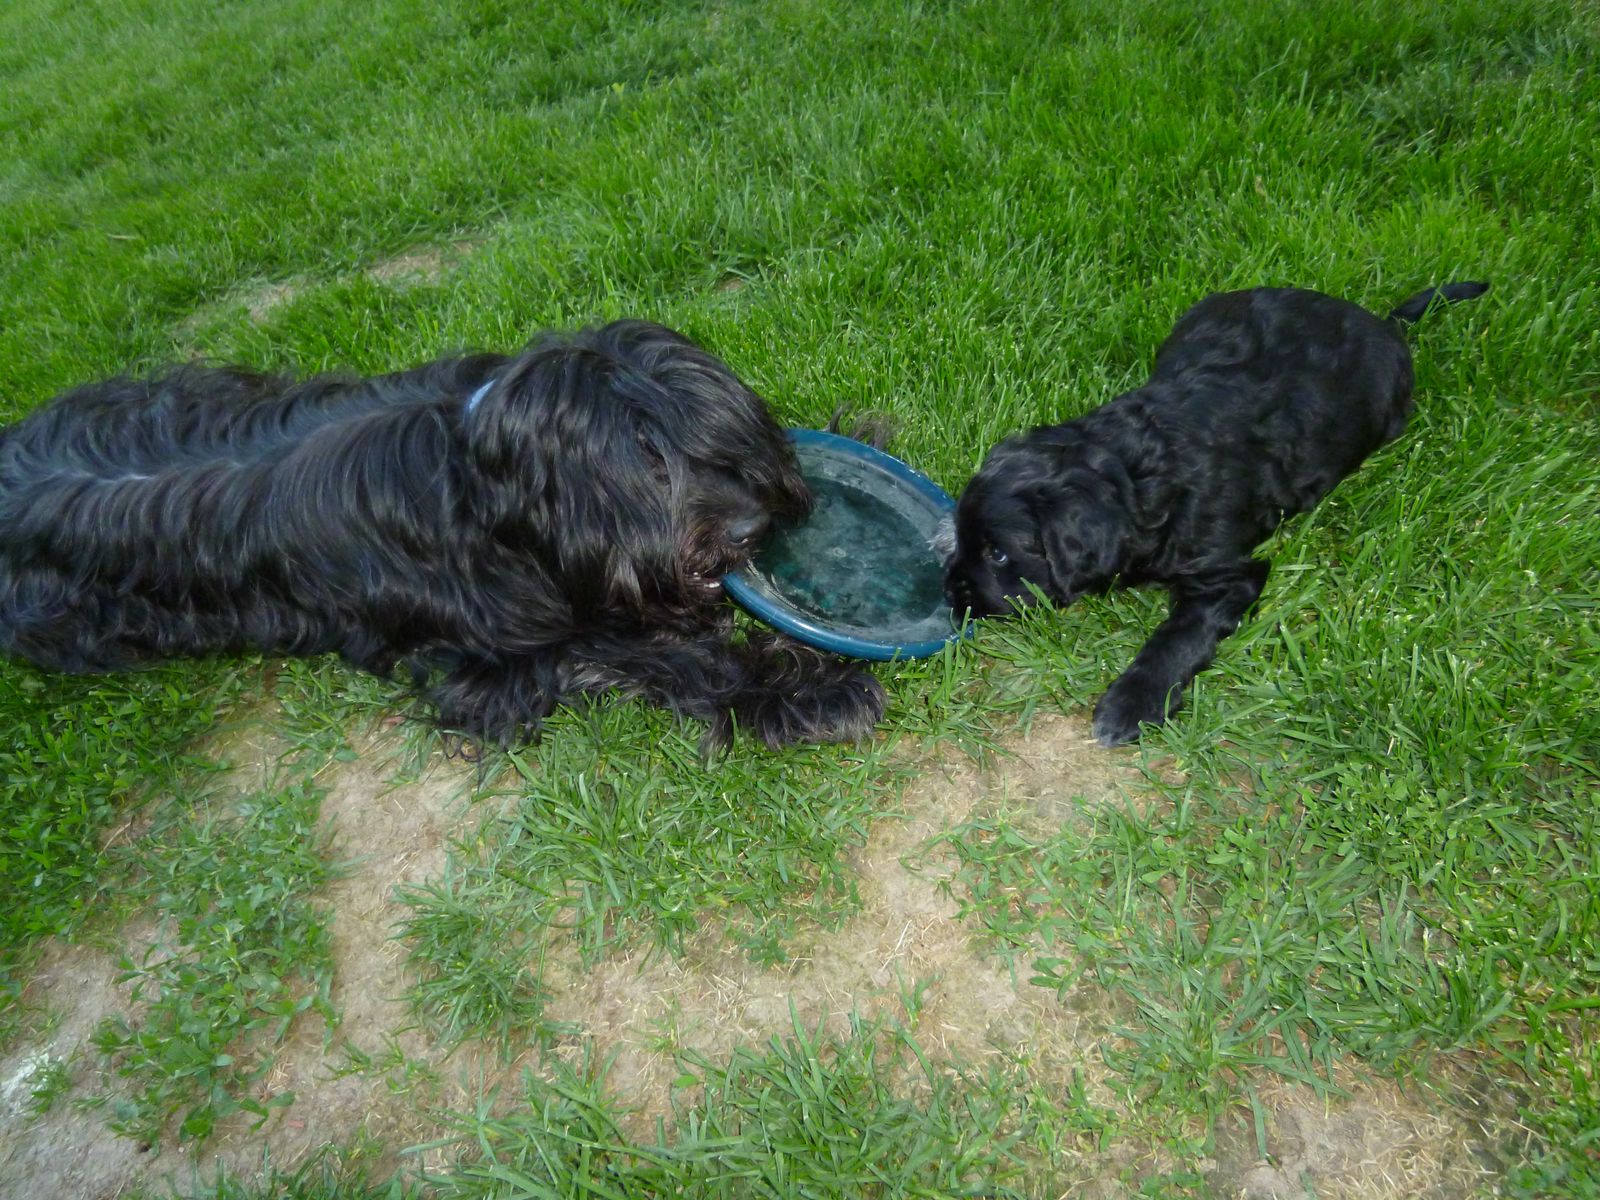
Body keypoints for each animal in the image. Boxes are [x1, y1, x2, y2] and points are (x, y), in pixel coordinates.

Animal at [0, 320, 886, 749]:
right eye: (644, 458)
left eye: (718, 434)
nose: (748, 525)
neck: (488, 491)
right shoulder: (496, 659)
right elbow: (647, 654)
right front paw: (802, 690)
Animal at [945, 281, 1488, 746]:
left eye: (997, 554)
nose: (951, 594)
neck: (1137, 472)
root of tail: (1381, 321)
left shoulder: (1226, 571)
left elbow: (1179, 636)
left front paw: (1132, 704)